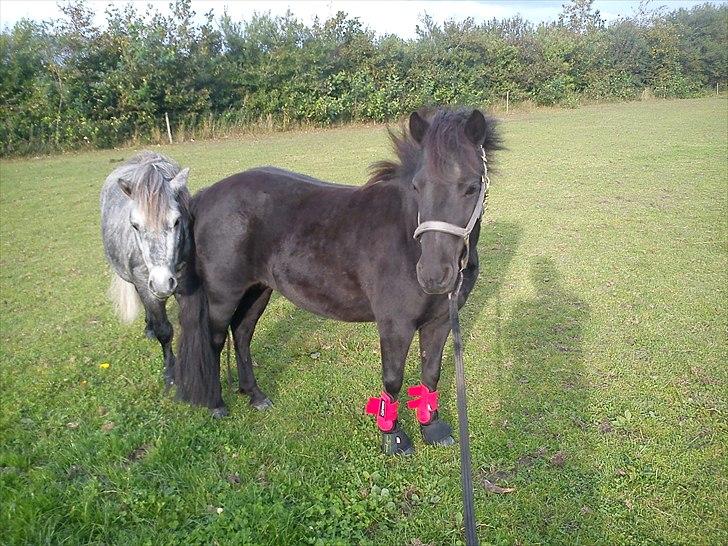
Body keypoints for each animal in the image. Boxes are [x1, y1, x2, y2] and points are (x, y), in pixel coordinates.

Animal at [102, 151, 193, 384]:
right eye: (135, 225)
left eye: (176, 221)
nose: (162, 284)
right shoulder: (145, 283)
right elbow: (164, 330)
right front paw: (170, 371)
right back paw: (149, 326)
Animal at [175, 108, 500, 452]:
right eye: (417, 186)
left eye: (472, 187)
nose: (434, 275)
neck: (407, 239)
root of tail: (205, 196)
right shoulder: (395, 324)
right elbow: (393, 379)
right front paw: (393, 437)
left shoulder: (439, 322)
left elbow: (431, 373)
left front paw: (432, 427)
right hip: (223, 295)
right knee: (214, 339)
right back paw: (216, 404)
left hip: (258, 289)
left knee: (242, 333)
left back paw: (256, 395)